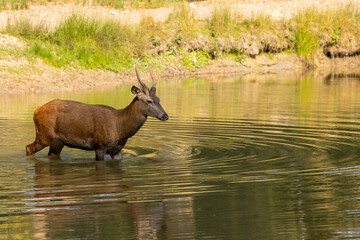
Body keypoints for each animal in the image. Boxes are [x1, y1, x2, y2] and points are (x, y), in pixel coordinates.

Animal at [25, 64, 169, 160]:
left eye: (158, 99)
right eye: (149, 101)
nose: (165, 116)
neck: (120, 128)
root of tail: (36, 110)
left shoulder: (117, 150)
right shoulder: (100, 145)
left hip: (58, 141)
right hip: (44, 134)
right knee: (28, 148)